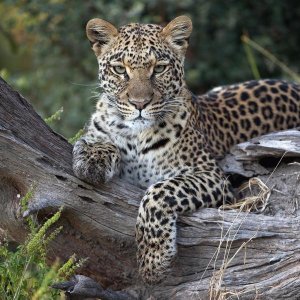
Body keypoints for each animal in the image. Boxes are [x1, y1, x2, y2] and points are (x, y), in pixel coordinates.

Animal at [72, 15, 300, 284]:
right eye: (120, 69)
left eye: (159, 68)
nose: (139, 104)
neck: (135, 136)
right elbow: (97, 139)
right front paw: (92, 160)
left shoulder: (214, 178)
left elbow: (159, 191)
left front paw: (153, 261)